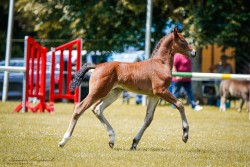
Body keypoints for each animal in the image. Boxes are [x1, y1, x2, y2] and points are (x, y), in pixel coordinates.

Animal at [59, 26, 197, 149]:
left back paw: (112, 139)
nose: (194, 52)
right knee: (79, 108)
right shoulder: (161, 91)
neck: (160, 63)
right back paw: (63, 141)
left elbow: (148, 119)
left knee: (97, 109)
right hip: (97, 92)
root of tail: (97, 66)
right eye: (183, 40)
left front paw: (134, 143)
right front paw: (185, 135)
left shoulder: (154, 96)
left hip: (113, 93)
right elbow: (180, 105)